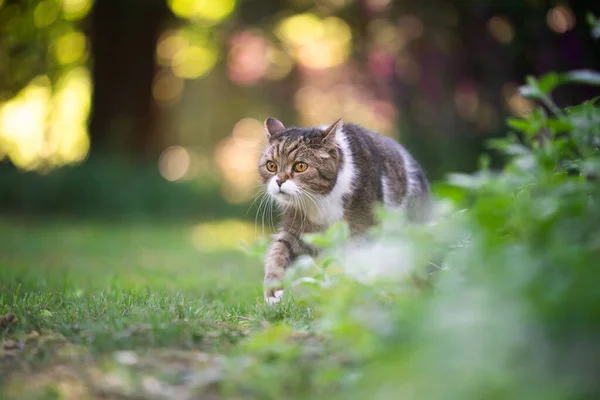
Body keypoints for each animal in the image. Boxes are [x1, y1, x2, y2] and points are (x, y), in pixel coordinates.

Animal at [255, 117, 428, 304]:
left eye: (300, 166)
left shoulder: (362, 233)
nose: (279, 181)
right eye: (271, 166)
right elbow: (278, 251)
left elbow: (359, 267)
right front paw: (272, 289)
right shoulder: (301, 232)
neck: (321, 200)